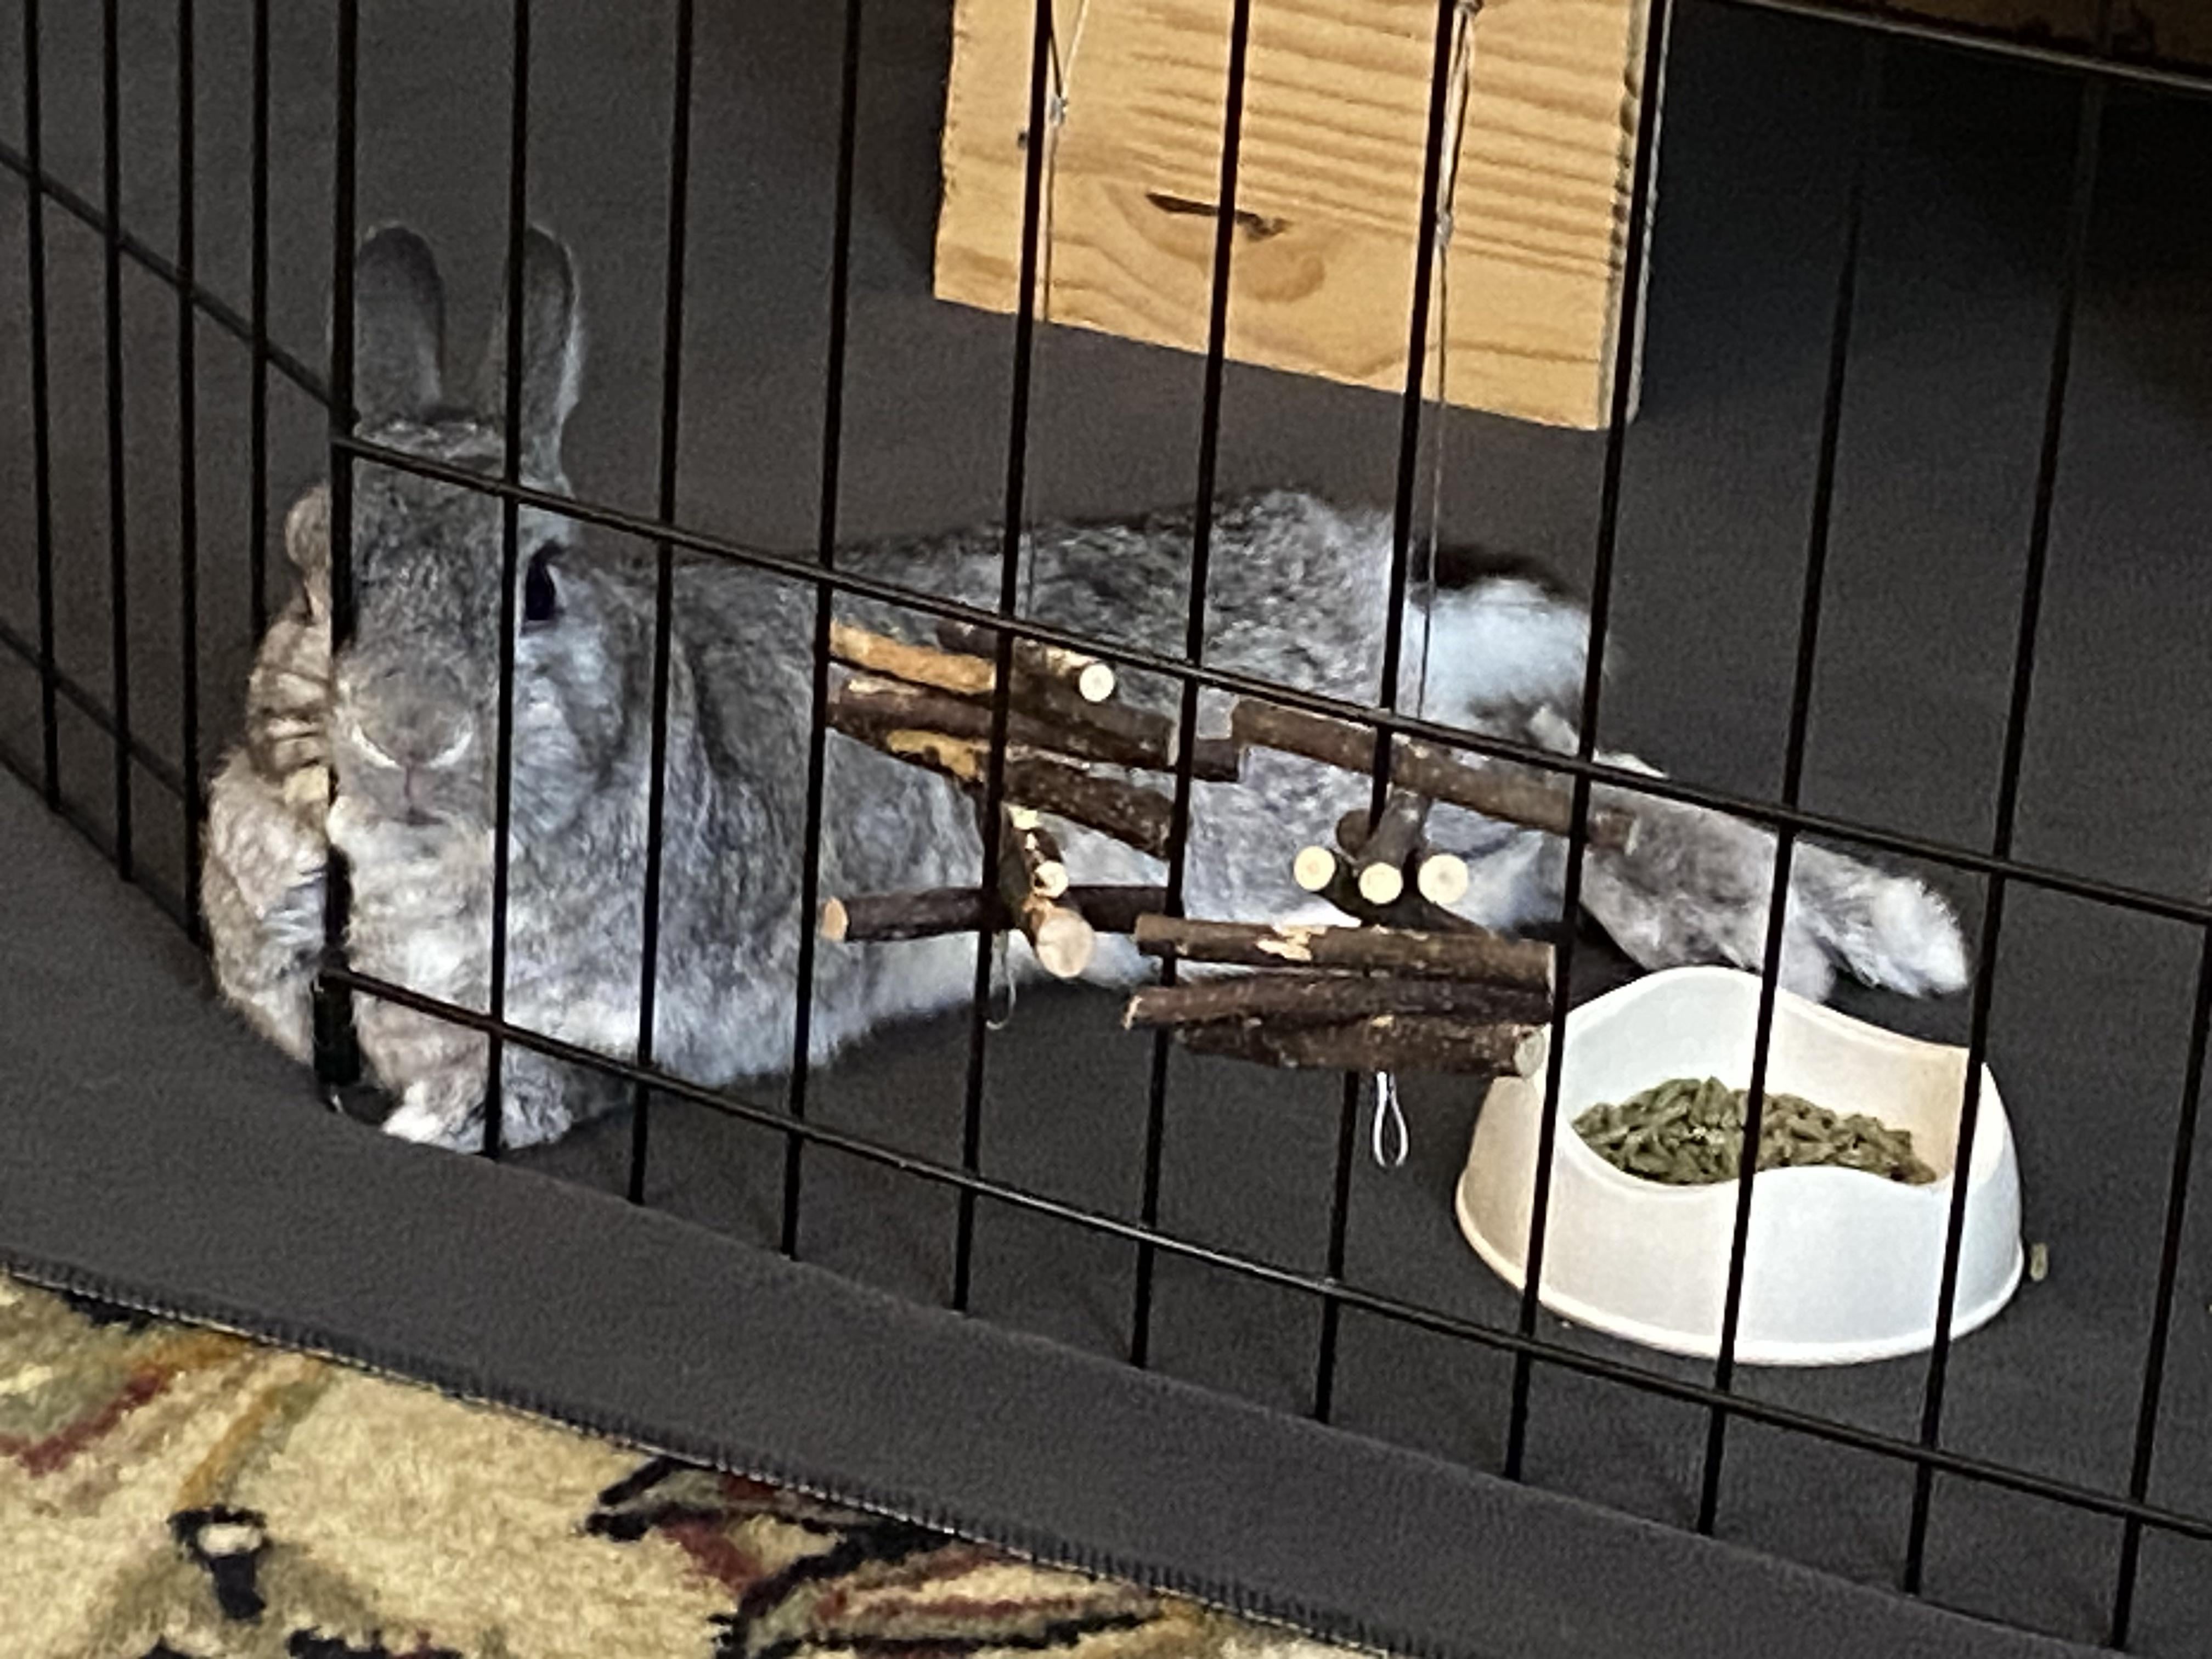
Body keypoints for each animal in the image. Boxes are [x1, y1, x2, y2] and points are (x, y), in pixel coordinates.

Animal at [201, 222, 1969, 1154]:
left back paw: (1863, 932)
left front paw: (432, 1127)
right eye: (314, 571)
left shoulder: (618, 1010)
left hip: (1297, 837)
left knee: (1554, 785)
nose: (409, 741)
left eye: (542, 586)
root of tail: (1355, 554)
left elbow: (529, 1077)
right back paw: (1767, 937)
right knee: (1549, 769)